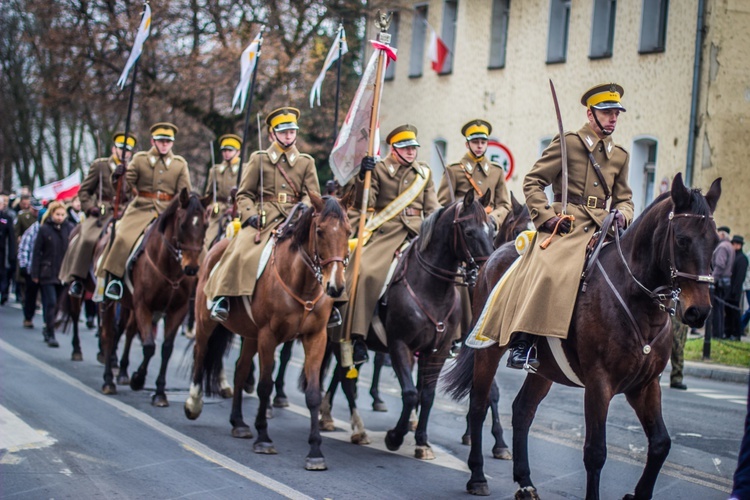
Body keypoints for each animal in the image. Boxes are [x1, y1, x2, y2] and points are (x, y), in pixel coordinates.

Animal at [99, 188, 212, 406]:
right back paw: (108, 380)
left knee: (127, 331)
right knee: (109, 334)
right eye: (182, 224)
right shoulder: (143, 305)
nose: (192, 268)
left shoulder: (177, 310)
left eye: (205, 225)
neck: (170, 268)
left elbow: (166, 349)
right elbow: (149, 346)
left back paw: (121, 371)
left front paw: (160, 392)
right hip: (111, 302)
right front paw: (137, 379)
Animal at [187, 190, 354, 468]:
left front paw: (315, 451)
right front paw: (264, 438)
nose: (335, 286)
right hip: (205, 320)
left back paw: (238, 423)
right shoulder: (268, 336)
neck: (302, 284)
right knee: (200, 354)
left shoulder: (315, 337)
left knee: (240, 369)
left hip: (250, 335)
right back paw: (193, 403)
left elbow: (312, 394)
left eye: (349, 231)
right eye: (320, 231)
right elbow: (265, 385)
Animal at [324, 189, 496, 458]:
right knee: (345, 380)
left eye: (492, 230)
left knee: (343, 376)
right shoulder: (399, 345)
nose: (488, 270)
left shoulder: (436, 351)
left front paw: (422, 441)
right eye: (469, 232)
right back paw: (356, 428)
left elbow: (427, 395)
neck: (431, 289)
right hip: (337, 336)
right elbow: (410, 393)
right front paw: (395, 436)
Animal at [446, 174, 724, 498]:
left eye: (715, 241)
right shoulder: (599, 383)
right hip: (488, 352)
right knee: (479, 405)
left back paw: (525, 482)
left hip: (545, 369)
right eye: (682, 239)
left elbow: (660, 444)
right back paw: (478, 475)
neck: (637, 299)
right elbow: (595, 452)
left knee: (522, 411)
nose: (699, 312)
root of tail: (496, 254)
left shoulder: (645, 385)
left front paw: (638, 493)